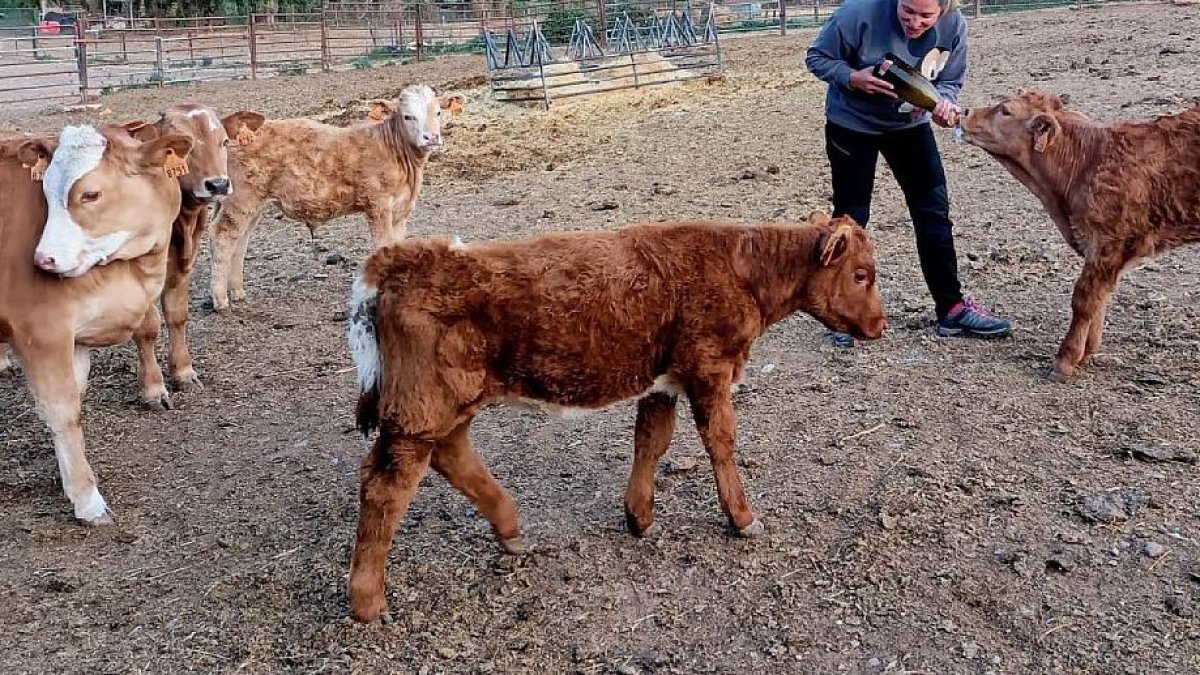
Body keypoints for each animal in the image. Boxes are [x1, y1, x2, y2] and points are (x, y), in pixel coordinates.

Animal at [343, 211, 888, 619]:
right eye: (861, 275)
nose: (880, 325)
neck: (741, 268)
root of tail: (409, 257)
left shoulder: (663, 380)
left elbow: (651, 440)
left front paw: (639, 516)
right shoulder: (708, 368)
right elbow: (721, 441)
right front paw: (742, 518)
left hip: (447, 406)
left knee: (451, 456)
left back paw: (510, 530)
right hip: (422, 407)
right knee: (387, 486)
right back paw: (368, 602)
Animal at [960, 90, 1200, 379]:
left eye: (1006, 110)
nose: (965, 112)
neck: (1086, 161)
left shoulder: (1106, 242)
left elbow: (1084, 299)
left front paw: (1065, 359)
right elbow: (1100, 297)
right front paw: (1087, 352)